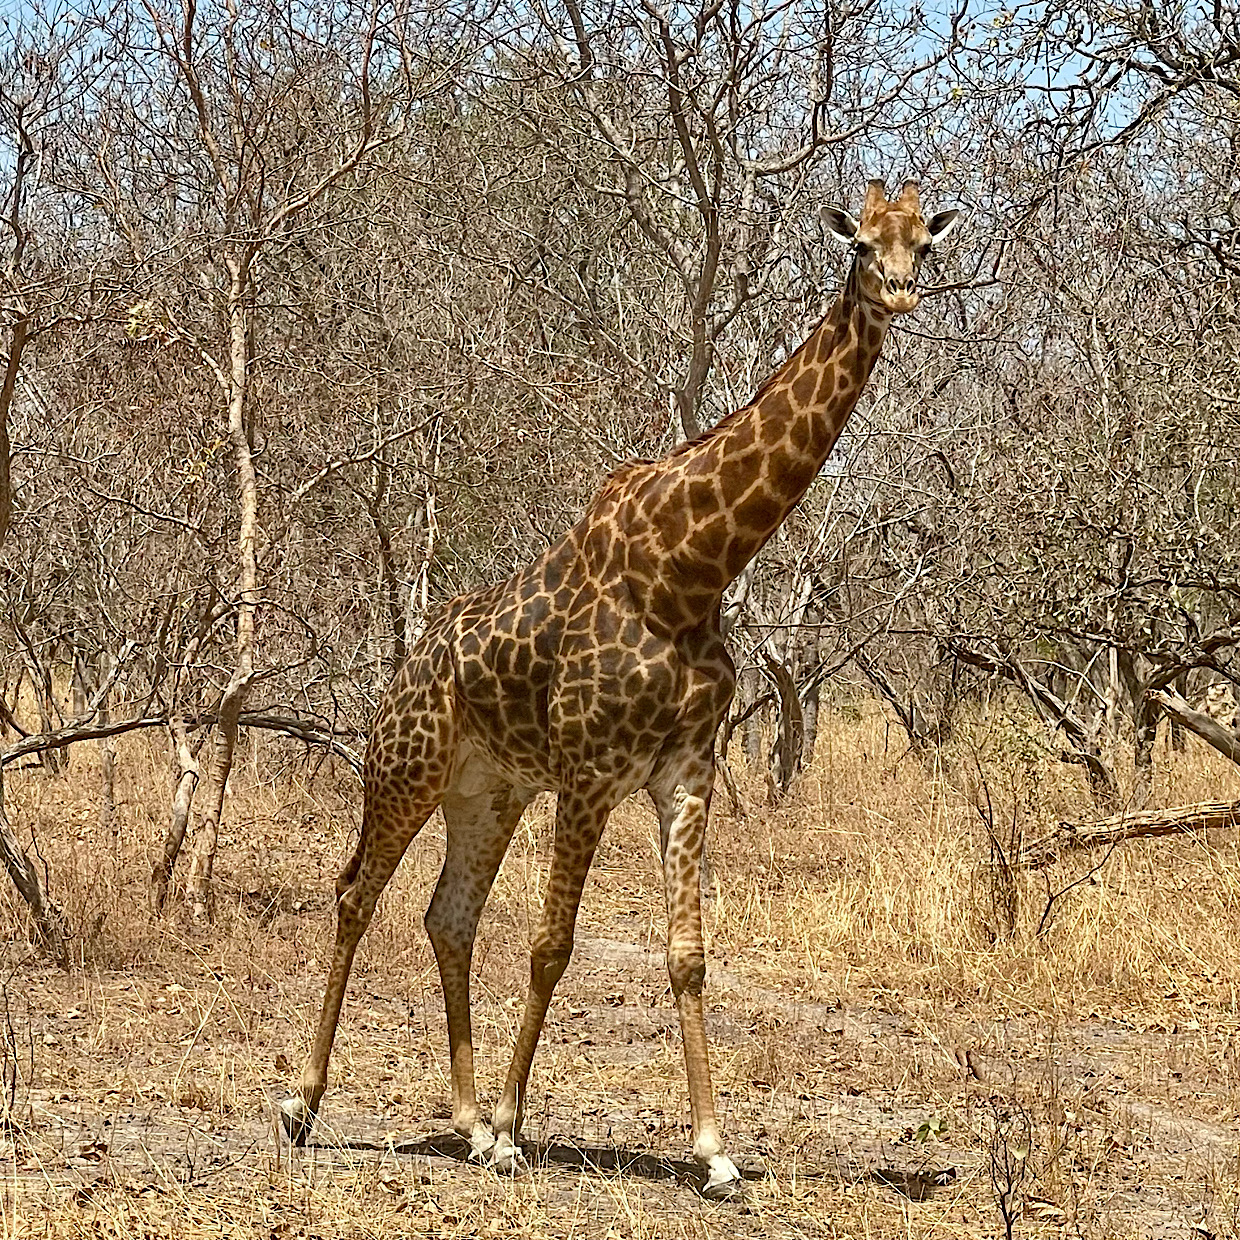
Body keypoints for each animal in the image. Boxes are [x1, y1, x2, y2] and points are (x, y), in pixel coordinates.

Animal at [280, 178, 960, 1199]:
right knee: (356, 892)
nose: (900, 292)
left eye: (924, 240)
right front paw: (516, 1133)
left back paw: (463, 1122)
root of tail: (412, 659)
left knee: (449, 916)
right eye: (859, 242)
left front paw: (713, 1152)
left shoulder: (684, 769)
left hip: (490, 790)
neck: (691, 566)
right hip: (405, 767)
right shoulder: (592, 770)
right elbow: (552, 944)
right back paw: (306, 1103)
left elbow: (687, 956)